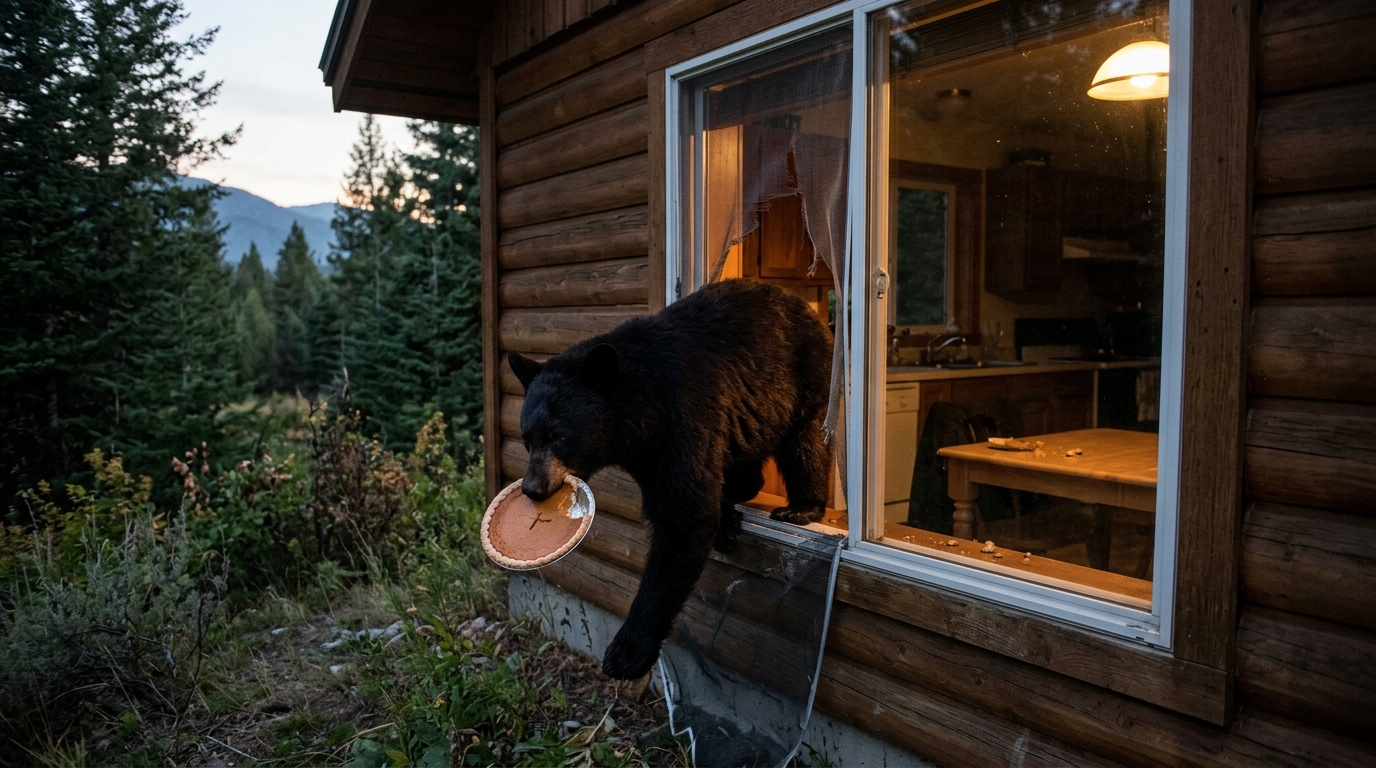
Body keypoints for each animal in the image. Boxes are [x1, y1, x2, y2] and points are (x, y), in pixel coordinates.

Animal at [507, 278, 833, 680]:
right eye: (527, 438)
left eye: (559, 437)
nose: (533, 489)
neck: (641, 411)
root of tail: (803, 304)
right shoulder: (651, 453)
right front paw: (724, 517)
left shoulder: (683, 420)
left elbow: (684, 517)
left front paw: (626, 653)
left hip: (804, 375)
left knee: (805, 441)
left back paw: (801, 508)